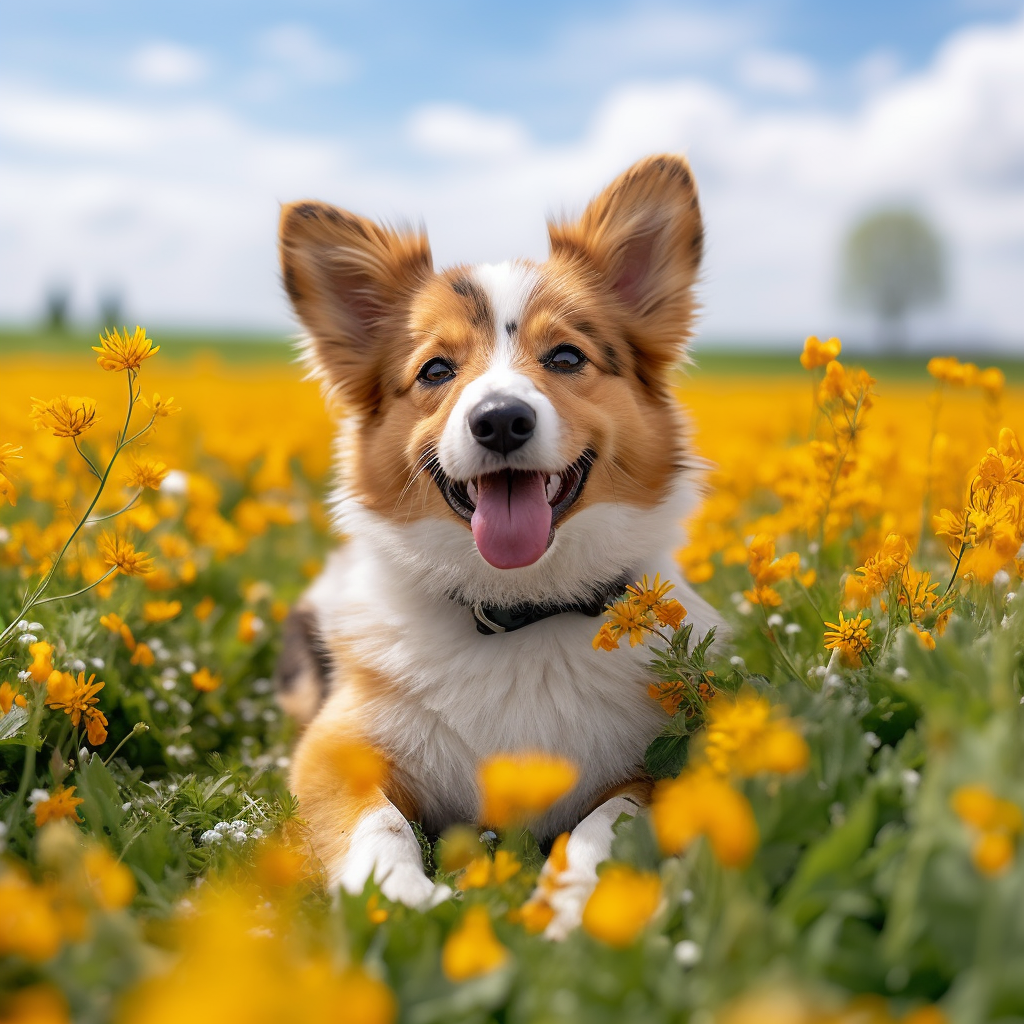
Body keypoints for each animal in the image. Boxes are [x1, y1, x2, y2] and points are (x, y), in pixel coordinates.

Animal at [276, 151, 716, 937]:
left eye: (566, 357)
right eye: (436, 370)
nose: (501, 420)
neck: (517, 613)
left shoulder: (664, 764)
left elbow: (606, 824)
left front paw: (573, 900)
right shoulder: (332, 751)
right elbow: (377, 824)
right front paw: (396, 897)